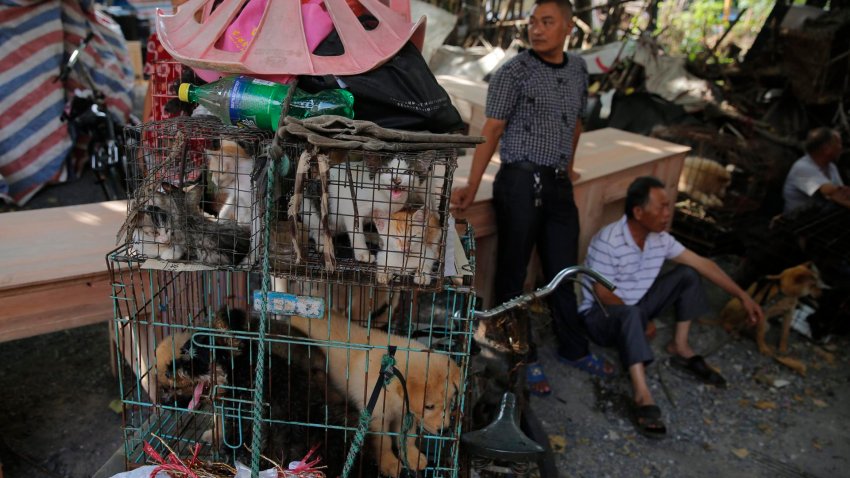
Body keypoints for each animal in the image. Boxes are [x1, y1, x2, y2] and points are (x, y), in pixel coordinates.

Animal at [290, 308, 464, 476]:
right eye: (429, 407)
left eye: (450, 403)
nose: (444, 430)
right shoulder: (376, 418)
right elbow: (384, 442)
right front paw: (389, 463)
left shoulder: (406, 414)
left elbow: (407, 438)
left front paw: (412, 457)